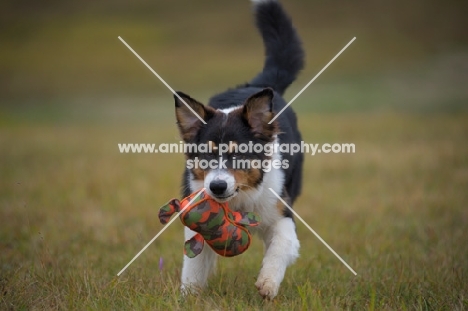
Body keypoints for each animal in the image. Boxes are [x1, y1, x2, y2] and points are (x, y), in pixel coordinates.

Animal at [174, 0, 306, 302]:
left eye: (239, 154)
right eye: (207, 155)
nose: (218, 187)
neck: (240, 199)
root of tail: (256, 85)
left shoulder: (282, 215)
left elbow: (280, 248)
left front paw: (267, 284)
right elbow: (194, 266)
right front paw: (188, 297)